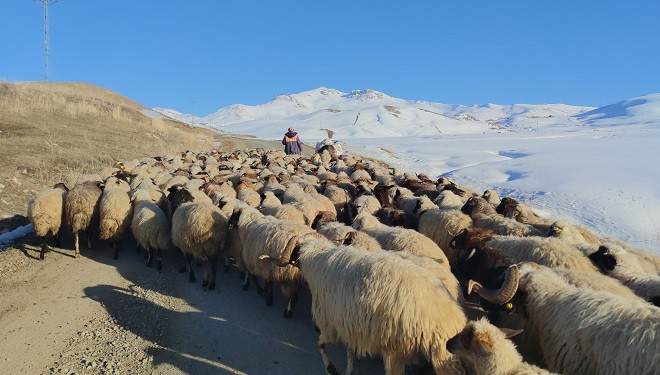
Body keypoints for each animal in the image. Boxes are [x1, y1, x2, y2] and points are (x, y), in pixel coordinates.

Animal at [260, 239, 466, 374]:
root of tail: (449, 318)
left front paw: (331, 369)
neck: (317, 261)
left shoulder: (329, 322)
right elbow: (350, 351)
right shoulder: (351, 324)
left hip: (397, 349)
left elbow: (319, 345)